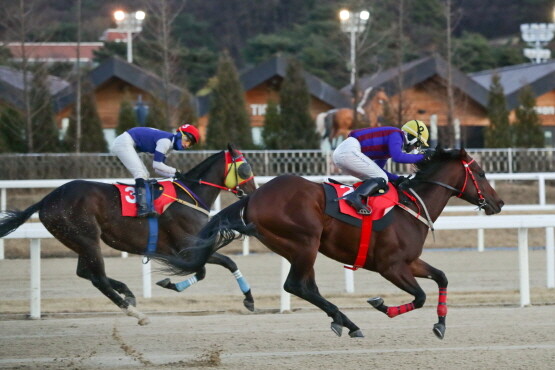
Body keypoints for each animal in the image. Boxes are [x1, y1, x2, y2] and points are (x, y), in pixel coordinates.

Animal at [0, 144, 258, 324]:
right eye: (245, 167)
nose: (253, 191)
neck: (190, 195)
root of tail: (46, 199)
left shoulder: (191, 250)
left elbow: (206, 270)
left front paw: (169, 284)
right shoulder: (188, 248)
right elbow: (224, 262)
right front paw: (249, 299)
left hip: (79, 241)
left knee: (85, 272)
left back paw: (127, 293)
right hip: (87, 238)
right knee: (98, 279)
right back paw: (136, 313)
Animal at [151, 147, 504, 338]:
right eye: (482, 173)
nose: (498, 203)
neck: (411, 204)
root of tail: (253, 197)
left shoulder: (410, 262)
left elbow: (441, 278)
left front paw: (441, 325)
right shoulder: (390, 266)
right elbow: (418, 297)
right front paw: (381, 305)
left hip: (296, 247)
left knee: (305, 287)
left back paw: (344, 321)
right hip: (305, 242)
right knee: (297, 285)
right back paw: (347, 322)